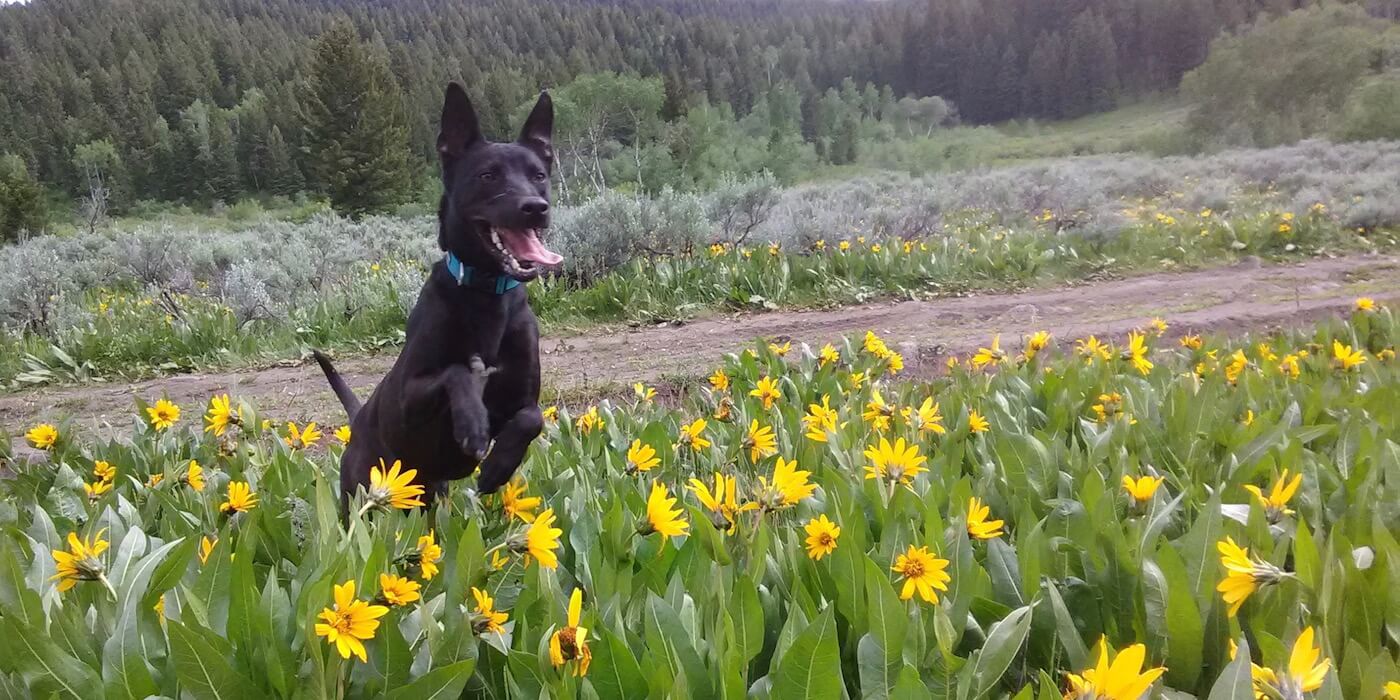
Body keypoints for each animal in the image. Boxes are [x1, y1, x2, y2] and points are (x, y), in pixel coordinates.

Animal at [315, 83, 560, 509]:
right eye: (488, 175)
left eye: (539, 175)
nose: (535, 207)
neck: (486, 295)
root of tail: (358, 421)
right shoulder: (407, 399)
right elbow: (457, 371)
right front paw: (474, 424)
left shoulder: (523, 398)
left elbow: (533, 418)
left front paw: (498, 467)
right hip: (358, 493)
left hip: (429, 493)